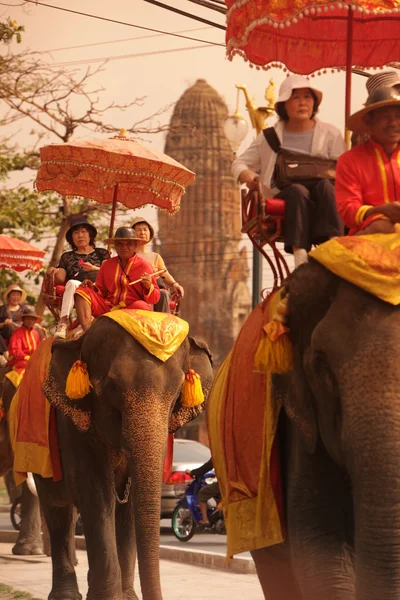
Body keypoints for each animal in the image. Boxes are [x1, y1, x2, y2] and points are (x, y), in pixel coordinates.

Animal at [37, 322, 212, 600]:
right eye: (112, 388)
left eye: (176, 393)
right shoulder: (73, 423)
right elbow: (95, 495)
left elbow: (129, 504)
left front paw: (126, 597)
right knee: (58, 509)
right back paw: (66, 595)